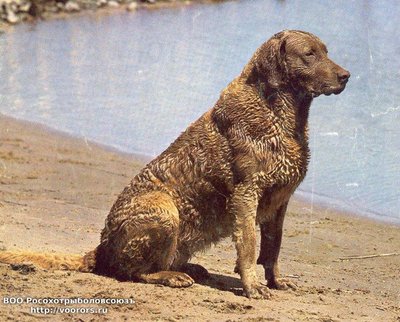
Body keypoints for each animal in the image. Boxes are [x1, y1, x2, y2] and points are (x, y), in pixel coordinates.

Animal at [0, 30, 348, 300]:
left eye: (326, 52)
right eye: (309, 54)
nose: (346, 76)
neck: (278, 113)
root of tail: (100, 249)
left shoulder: (280, 201)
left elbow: (273, 248)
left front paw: (276, 281)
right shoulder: (246, 195)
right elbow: (249, 245)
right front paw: (252, 286)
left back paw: (190, 268)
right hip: (164, 209)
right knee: (130, 271)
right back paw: (171, 276)